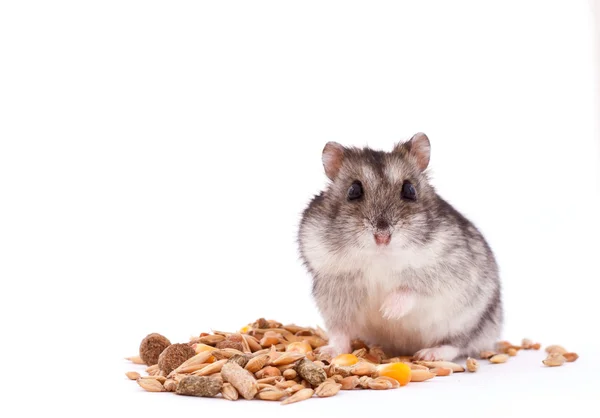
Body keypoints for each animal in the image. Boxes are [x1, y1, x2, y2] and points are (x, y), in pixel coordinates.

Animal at [298, 132, 502, 360]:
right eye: (353, 190)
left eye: (410, 190)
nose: (382, 237)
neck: (379, 257)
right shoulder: (334, 288)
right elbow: (339, 331)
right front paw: (329, 352)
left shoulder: (447, 270)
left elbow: (412, 289)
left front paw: (387, 311)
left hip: (470, 321)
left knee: (457, 344)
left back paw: (428, 355)